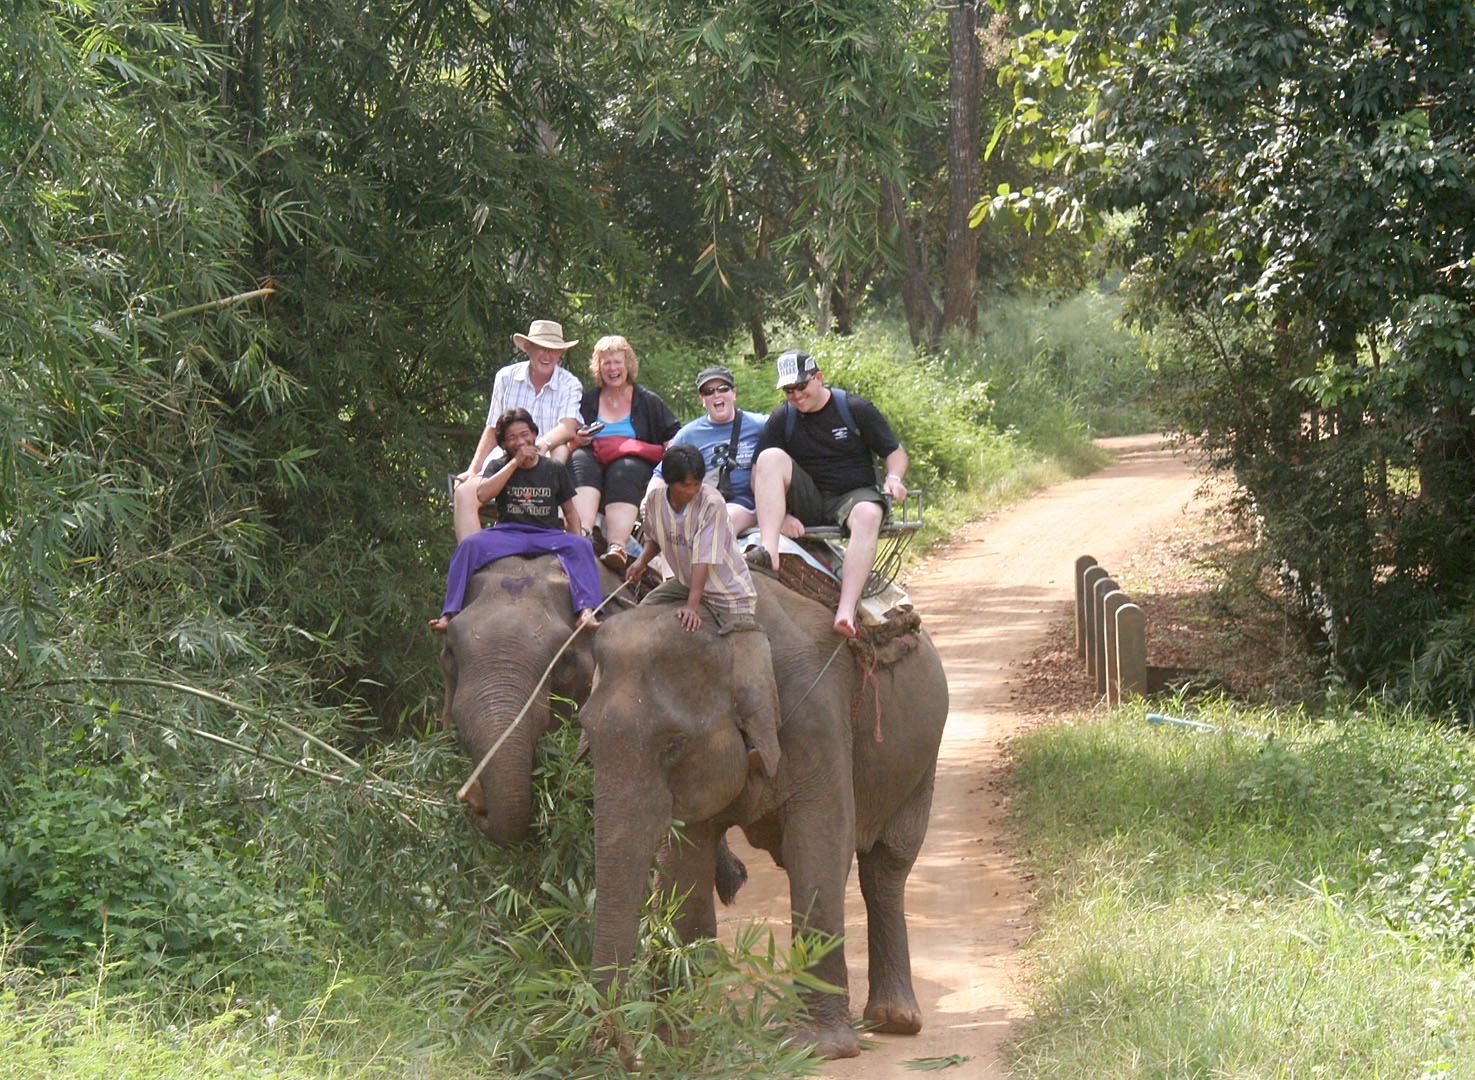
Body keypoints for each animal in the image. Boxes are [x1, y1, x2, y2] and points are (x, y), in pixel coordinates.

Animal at [579, 573, 948, 1059]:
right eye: (587, 734)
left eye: (674, 743)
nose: (622, 1050)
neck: (727, 627)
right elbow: (684, 863)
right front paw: (678, 1040)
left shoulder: (816, 715)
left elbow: (820, 844)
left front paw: (821, 1047)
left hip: (923, 756)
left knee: (887, 866)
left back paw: (895, 1020)